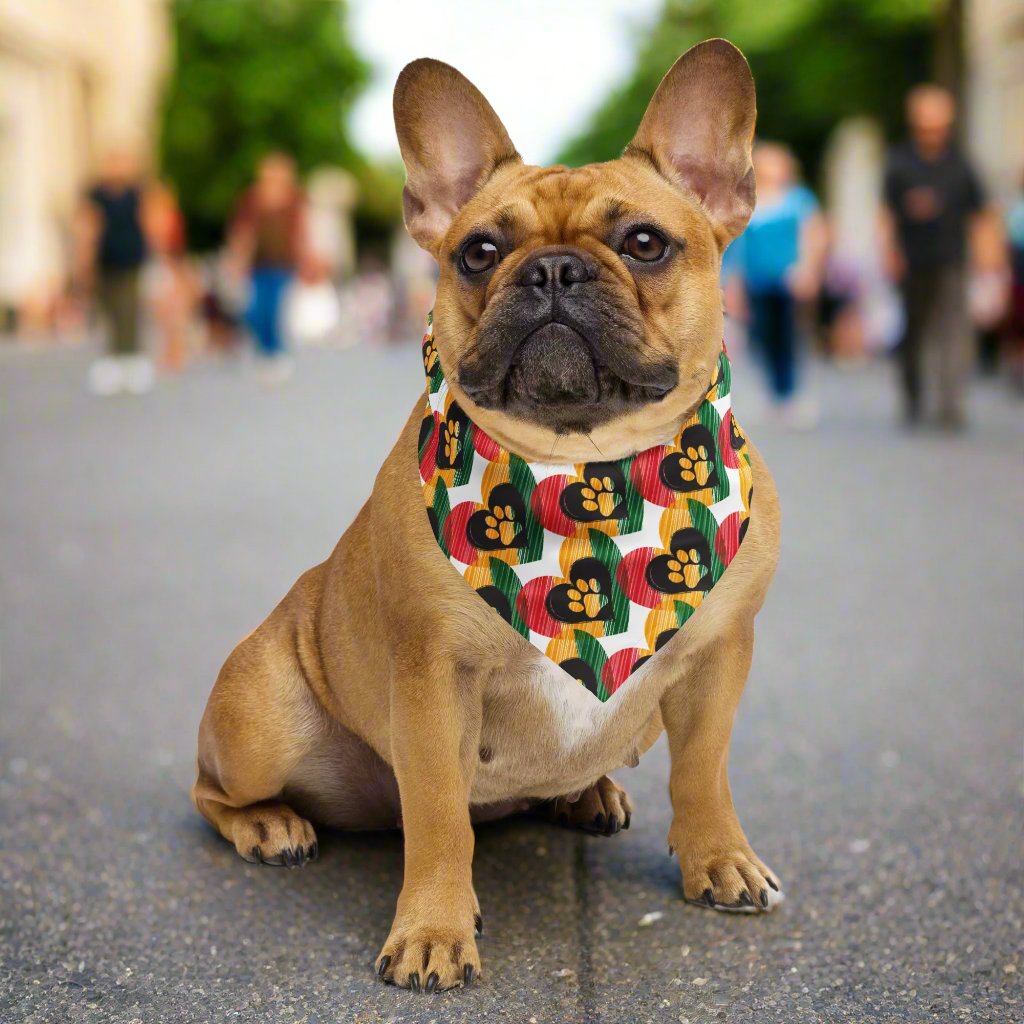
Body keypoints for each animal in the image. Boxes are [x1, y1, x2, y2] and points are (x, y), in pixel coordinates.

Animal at [193, 39, 782, 991]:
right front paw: (434, 930)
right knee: (213, 790)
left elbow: (704, 770)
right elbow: (439, 819)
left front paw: (718, 857)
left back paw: (589, 793)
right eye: (478, 251)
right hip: (262, 719)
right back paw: (272, 824)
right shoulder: (434, 681)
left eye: (645, 243)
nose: (551, 269)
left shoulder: (718, 659)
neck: (585, 471)